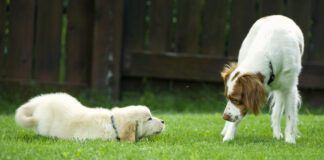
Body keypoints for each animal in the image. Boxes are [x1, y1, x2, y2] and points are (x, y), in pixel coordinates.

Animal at [221, 15, 302, 144]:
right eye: (228, 97)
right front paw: (228, 136)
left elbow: (290, 116)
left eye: (236, 100)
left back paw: (277, 134)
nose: (225, 117)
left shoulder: (290, 89)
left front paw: (290, 140)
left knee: (277, 111)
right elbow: (236, 118)